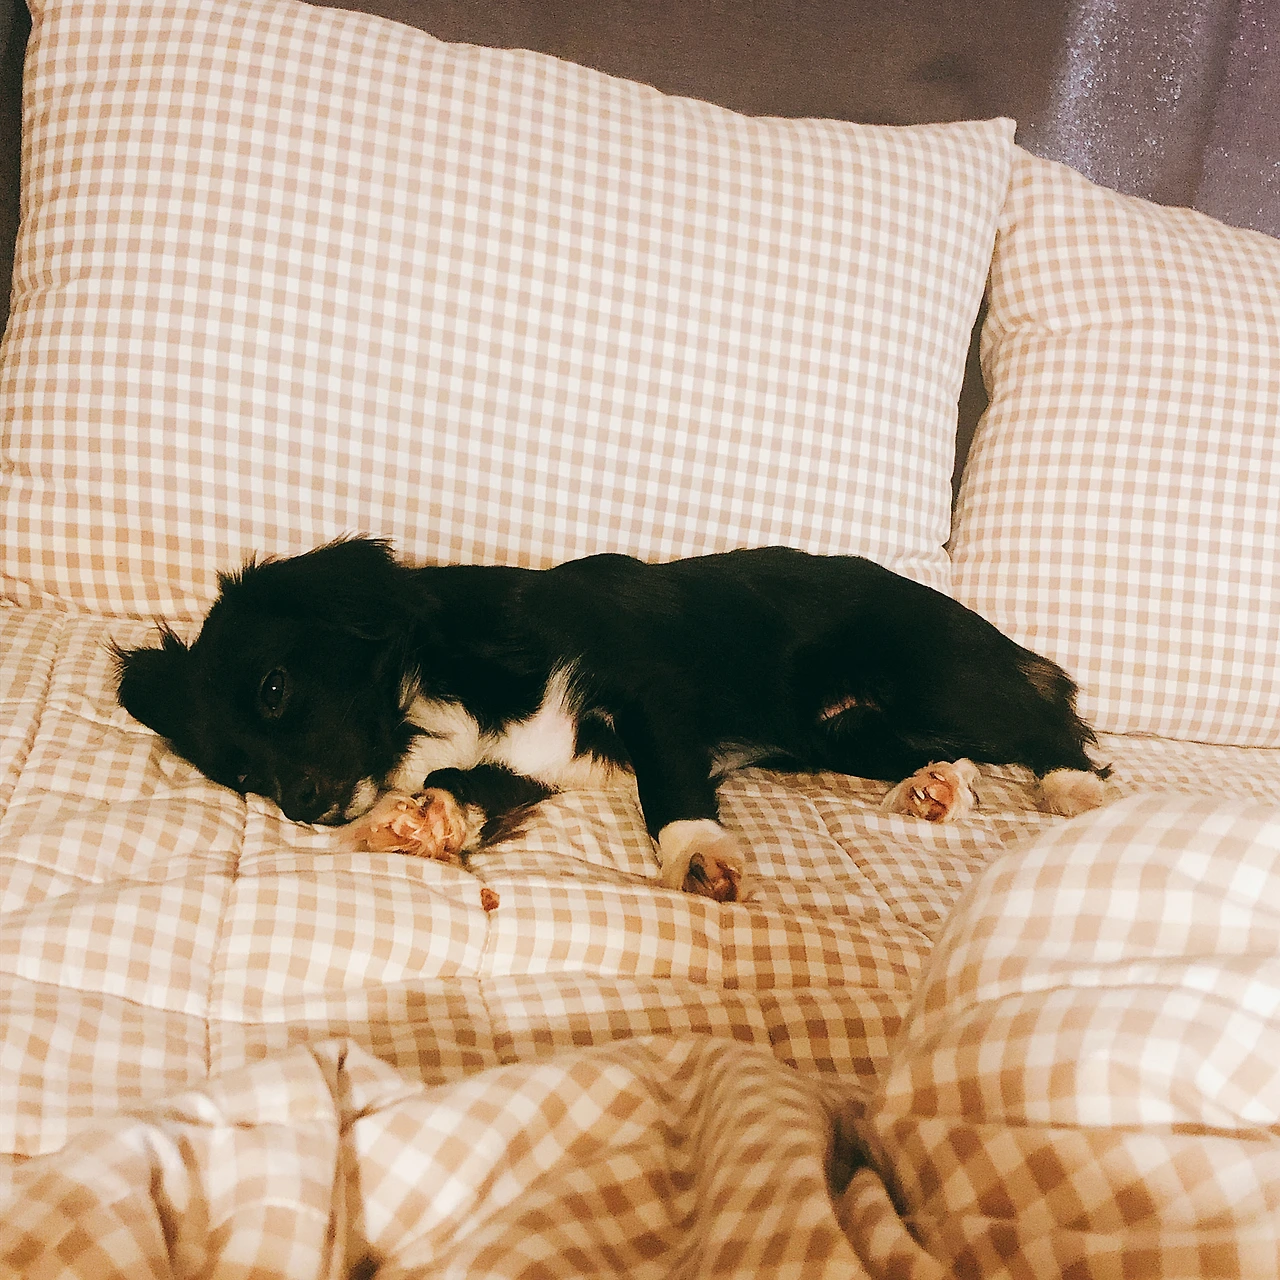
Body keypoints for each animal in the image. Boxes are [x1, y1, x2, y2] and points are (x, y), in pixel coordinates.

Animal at [113, 537, 1109, 900]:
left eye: (276, 688)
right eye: (239, 771)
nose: (304, 807)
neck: (423, 697)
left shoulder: (649, 692)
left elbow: (668, 788)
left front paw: (696, 855)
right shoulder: (521, 761)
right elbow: (465, 781)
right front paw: (423, 819)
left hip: (934, 678)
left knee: (1048, 720)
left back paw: (1076, 793)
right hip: (843, 732)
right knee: (958, 754)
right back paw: (933, 790)